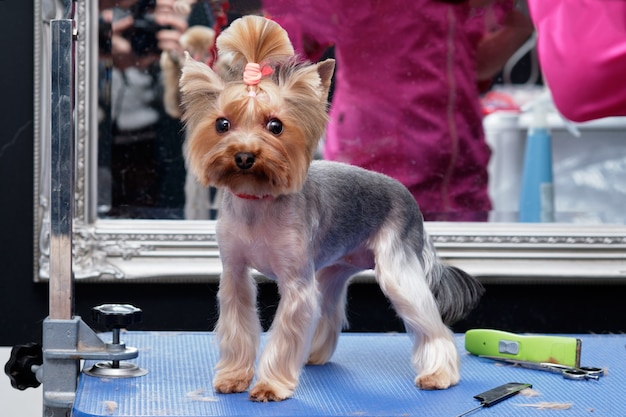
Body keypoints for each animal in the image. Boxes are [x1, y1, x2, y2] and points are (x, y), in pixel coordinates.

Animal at [178, 15, 486, 400]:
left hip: (397, 268)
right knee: (329, 310)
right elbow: (239, 327)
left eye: (275, 126)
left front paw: (270, 384)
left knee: (431, 322)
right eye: (222, 124)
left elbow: (284, 334)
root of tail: (409, 197)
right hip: (333, 269)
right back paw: (313, 354)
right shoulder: (235, 273)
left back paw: (439, 374)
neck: (258, 199)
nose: (245, 155)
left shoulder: (296, 281)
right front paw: (234, 376)